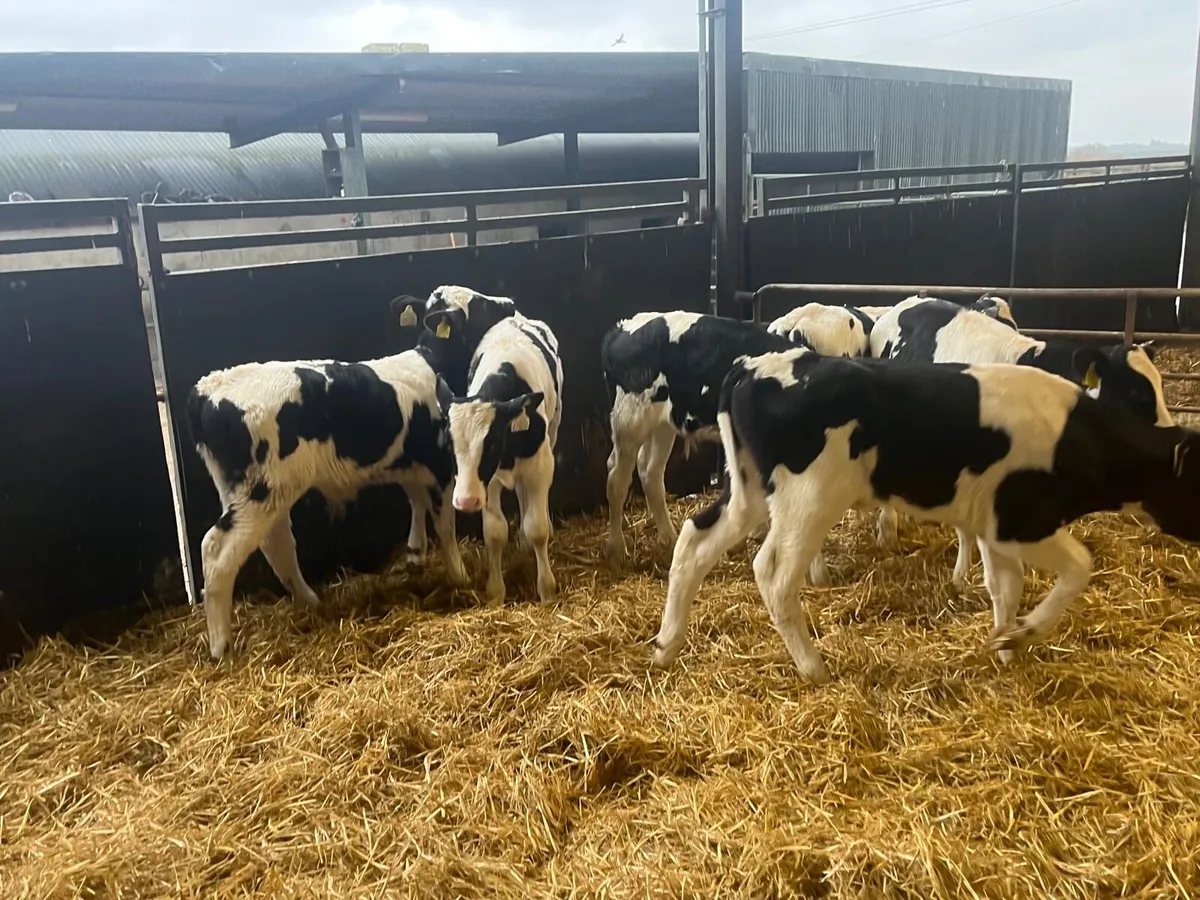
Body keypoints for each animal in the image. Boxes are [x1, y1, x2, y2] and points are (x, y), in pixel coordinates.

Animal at [186, 325, 473, 660]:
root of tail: (208, 389)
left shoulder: (409, 464)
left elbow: (416, 501)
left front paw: (416, 555)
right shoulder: (439, 462)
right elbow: (445, 522)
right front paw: (460, 576)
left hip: (257, 491)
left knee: (277, 543)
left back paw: (310, 602)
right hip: (261, 491)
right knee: (218, 552)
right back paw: (222, 647)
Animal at [437, 312, 564, 605]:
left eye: (493, 443)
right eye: (448, 444)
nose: (465, 501)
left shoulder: (540, 466)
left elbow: (537, 527)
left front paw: (546, 590)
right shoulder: (488, 480)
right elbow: (494, 532)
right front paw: (495, 593)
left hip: (554, 427)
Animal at [650, 348, 1200, 684]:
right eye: (1138, 392)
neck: (1078, 437)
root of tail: (753, 365)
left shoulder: (993, 527)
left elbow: (1005, 586)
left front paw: (1006, 648)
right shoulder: (1021, 521)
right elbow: (1079, 567)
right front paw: (1026, 633)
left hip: (747, 489)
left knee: (694, 541)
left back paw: (666, 645)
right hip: (808, 498)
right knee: (774, 573)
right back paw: (814, 668)